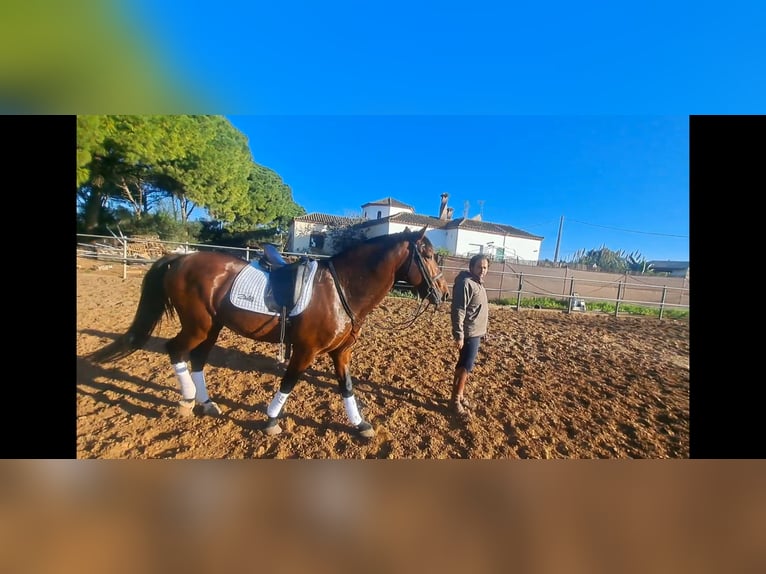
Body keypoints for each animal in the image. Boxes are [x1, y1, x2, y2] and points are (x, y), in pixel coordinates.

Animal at [88, 227, 450, 438]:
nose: (444, 294)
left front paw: (360, 425)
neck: (340, 289)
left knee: (199, 359)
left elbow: (346, 387)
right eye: (428, 255)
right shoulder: (306, 350)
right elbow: (289, 381)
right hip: (197, 325)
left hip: (213, 327)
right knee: (176, 350)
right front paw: (272, 420)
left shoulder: (340, 352)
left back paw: (207, 404)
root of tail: (179, 259)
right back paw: (188, 400)